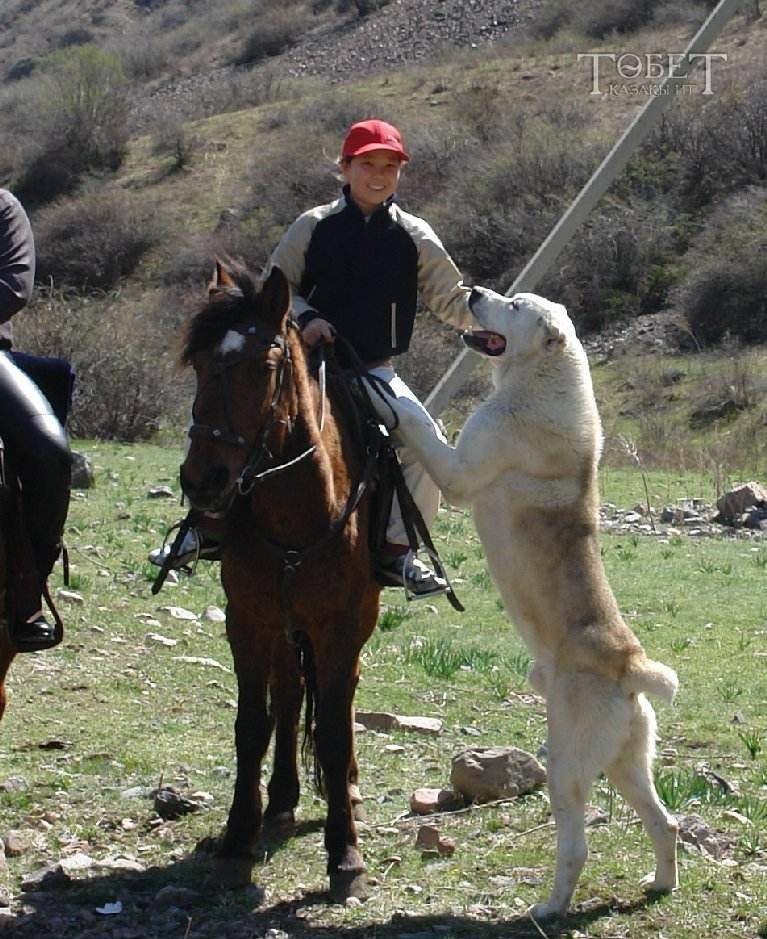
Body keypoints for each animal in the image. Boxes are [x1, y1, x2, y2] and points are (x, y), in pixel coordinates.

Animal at [181, 260, 384, 900]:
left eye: (264, 367)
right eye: (198, 365)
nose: (203, 479)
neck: (296, 513)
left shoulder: (340, 624)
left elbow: (337, 729)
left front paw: (345, 856)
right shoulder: (249, 619)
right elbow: (253, 724)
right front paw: (235, 841)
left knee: (339, 699)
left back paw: (347, 789)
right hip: (284, 628)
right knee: (291, 694)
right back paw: (282, 801)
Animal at [376, 288, 680, 916]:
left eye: (514, 304)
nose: (472, 291)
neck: (540, 374)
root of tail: (630, 667)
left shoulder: (457, 470)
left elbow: (417, 417)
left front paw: (388, 390)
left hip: (566, 767)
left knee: (577, 846)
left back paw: (550, 907)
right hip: (627, 764)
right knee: (666, 823)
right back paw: (660, 884)